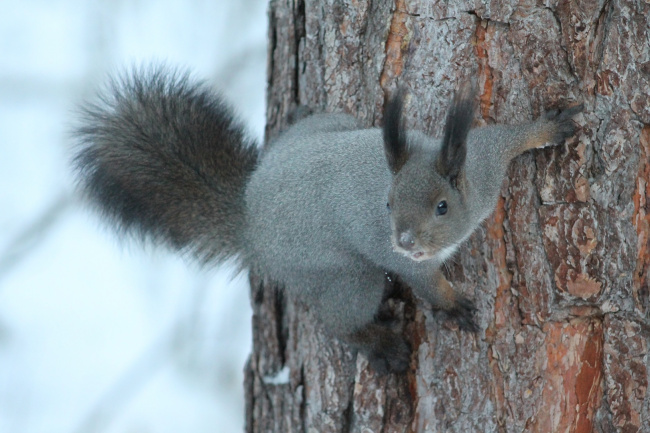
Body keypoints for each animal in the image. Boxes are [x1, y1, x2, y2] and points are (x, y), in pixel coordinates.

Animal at [73, 66, 580, 372]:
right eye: (387, 204)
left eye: (442, 206)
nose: (405, 241)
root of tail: (250, 220)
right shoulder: (410, 262)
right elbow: (427, 285)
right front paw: (454, 306)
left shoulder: (483, 165)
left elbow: (508, 138)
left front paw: (548, 127)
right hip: (345, 276)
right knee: (340, 321)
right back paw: (380, 345)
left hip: (330, 130)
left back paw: (302, 109)